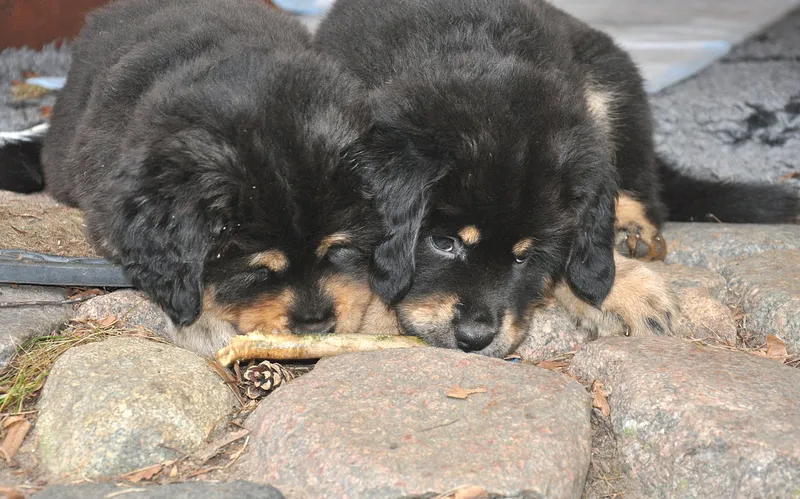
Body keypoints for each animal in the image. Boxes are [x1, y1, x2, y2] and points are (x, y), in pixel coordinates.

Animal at [314, 0, 800, 356]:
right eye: (442, 242)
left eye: (524, 256)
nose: (474, 339)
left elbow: (581, 255)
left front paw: (623, 290)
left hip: (610, 83)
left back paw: (631, 230)